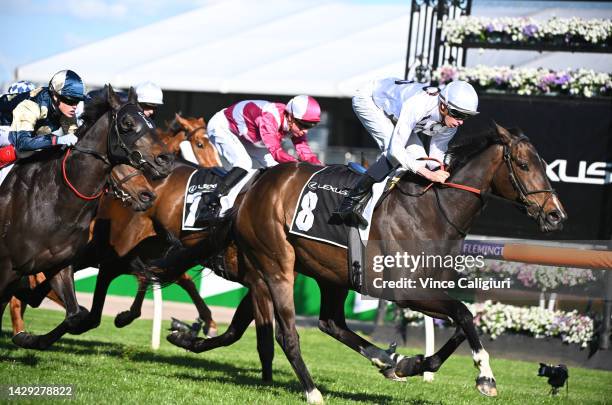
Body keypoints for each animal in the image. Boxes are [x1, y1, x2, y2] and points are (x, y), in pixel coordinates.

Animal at [0, 87, 173, 348]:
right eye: (127, 123)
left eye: (151, 123)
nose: (165, 160)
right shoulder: (10, 267)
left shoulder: (60, 264)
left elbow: (78, 315)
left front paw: (31, 338)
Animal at [170, 123, 568, 400]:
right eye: (523, 164)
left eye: (544, 166)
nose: (556, 216)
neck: (431, 213)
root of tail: (251, 189)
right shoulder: (404, 291)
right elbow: (464, 315)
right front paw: (485, 377)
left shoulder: (427, 289)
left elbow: (461, 321)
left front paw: (414, 364)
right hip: (276, 265)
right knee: (288, 333)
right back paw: (313, 391)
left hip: (330, 274)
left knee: (331, 323)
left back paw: (385, 360)